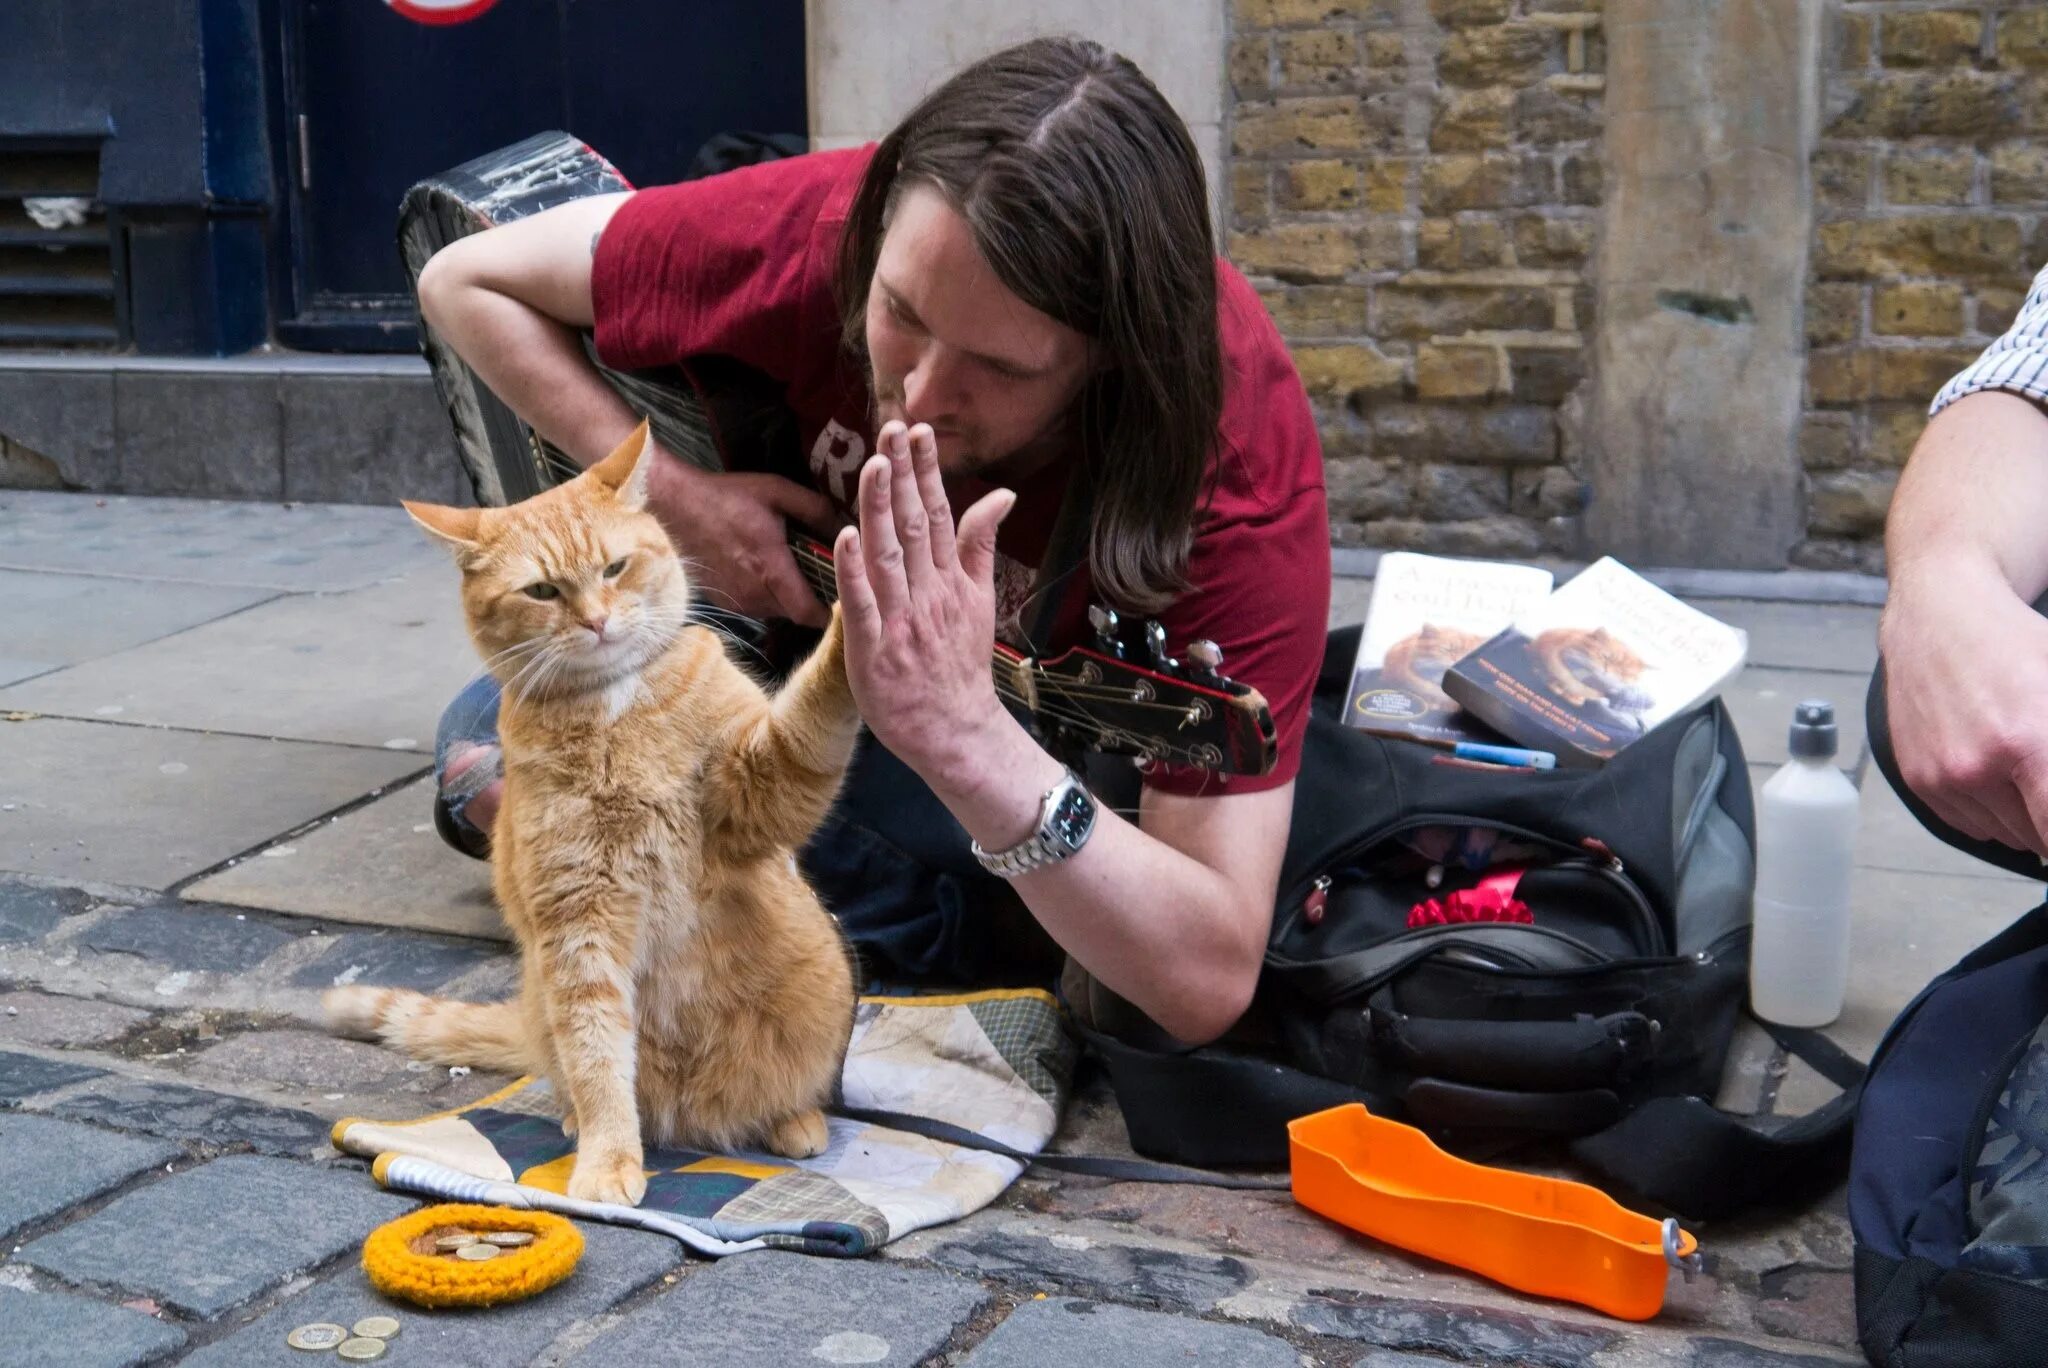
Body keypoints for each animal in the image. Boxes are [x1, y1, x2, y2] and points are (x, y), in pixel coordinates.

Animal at [327, 421, 856, 1204]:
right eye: (543, 590)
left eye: (614, 568)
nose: (599, 622)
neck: (614, 708)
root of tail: (696, 1121)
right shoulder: (578, 923)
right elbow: (598, 1054)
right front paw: (608, 1159)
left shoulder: (759, 791)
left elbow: (814, 714)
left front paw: (869, 593)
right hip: (544, 994)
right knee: (578, 1073)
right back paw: (584, 1121)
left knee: (783, 1091)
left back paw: (792, 1120)